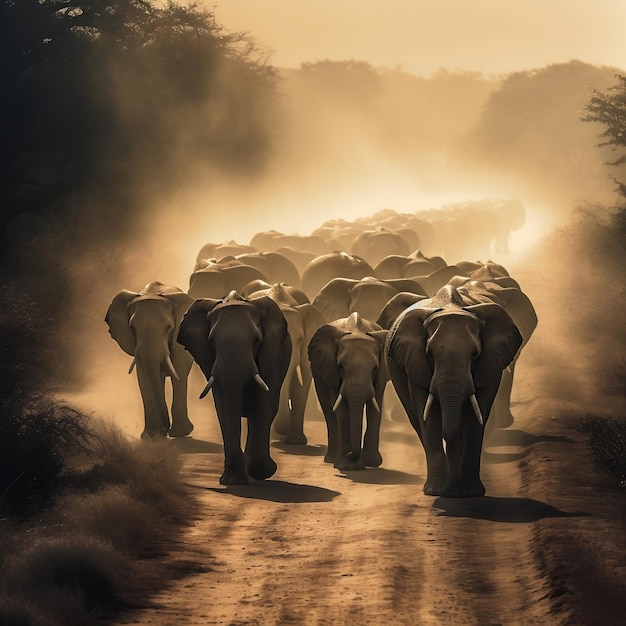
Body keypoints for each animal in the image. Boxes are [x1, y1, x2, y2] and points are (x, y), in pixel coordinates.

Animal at [104, 280, 195, 436]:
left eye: (169, 327)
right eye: (132, 328)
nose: (167, 429)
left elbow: (178, 371)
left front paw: (180, 433)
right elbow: (143, 377)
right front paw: (151, 436)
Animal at [177, 288, 292, 482]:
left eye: (256, 341)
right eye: (212, 341)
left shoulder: (269, 356)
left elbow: (262, 404)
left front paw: (261, 471)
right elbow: (223, 407)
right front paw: (232, 480)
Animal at [306, 312, 388, 468]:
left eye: (375, 369)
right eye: (341, 367)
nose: (352, 455)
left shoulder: (381, 376)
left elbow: (375, 408)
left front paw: (371, 463)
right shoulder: (331, 369)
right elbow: (341, 410)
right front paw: (348, 467)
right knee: (329, 412)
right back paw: (331, 459)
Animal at [382, 286, 520, 494]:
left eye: (475, 354)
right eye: (430, 354)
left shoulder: (489, 365)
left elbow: (475, 416)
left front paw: (469, 493)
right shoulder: (415, 363)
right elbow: (429, 418)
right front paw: (437, 492)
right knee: (417, 421)